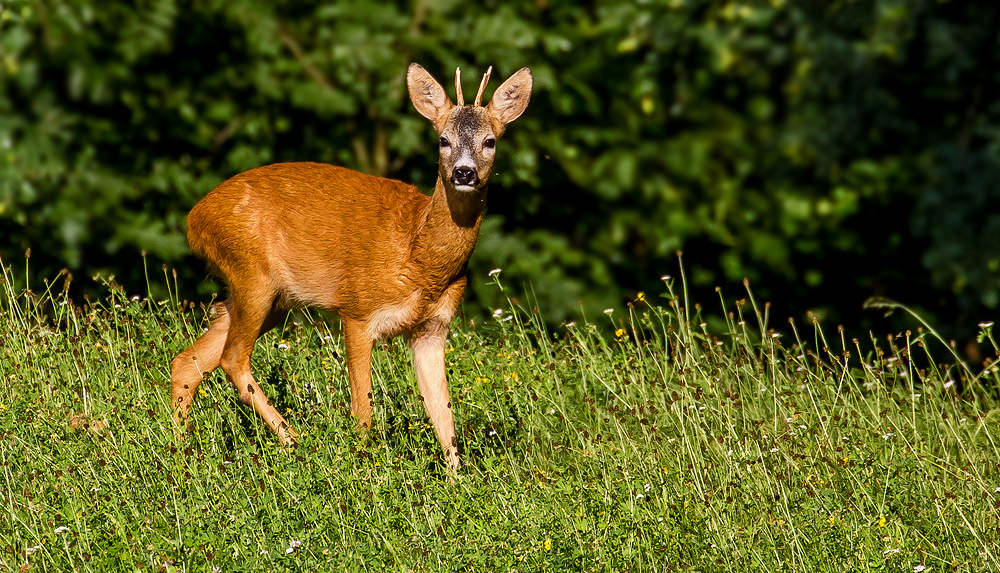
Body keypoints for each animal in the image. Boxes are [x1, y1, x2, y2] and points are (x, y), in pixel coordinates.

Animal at [169, 63, 536, 470]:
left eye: (490, 141)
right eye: (443, 140)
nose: (464, 173)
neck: (420, 258)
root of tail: (194, 219)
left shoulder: (433, 326)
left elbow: (442, 412)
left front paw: (458, 478)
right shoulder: (358, 310)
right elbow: (363, 410)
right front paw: (362, 467)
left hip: (270, 297)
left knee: (188, 360)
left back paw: (179, 451)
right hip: (252, 274)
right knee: (233, 358)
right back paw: (293, 441)